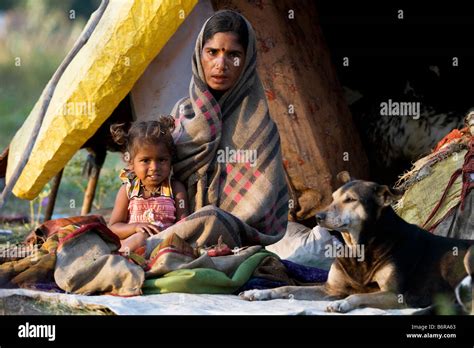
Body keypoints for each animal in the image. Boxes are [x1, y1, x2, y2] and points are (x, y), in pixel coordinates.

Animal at [243, 171, 472, 312]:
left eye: (351, 200)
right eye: (333, 198)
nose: (318, 217)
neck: (359, 247)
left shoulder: (395, 295)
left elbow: (357, 296)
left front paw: (342, 305)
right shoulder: (331, 290)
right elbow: (287, 288)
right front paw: (260, 292)